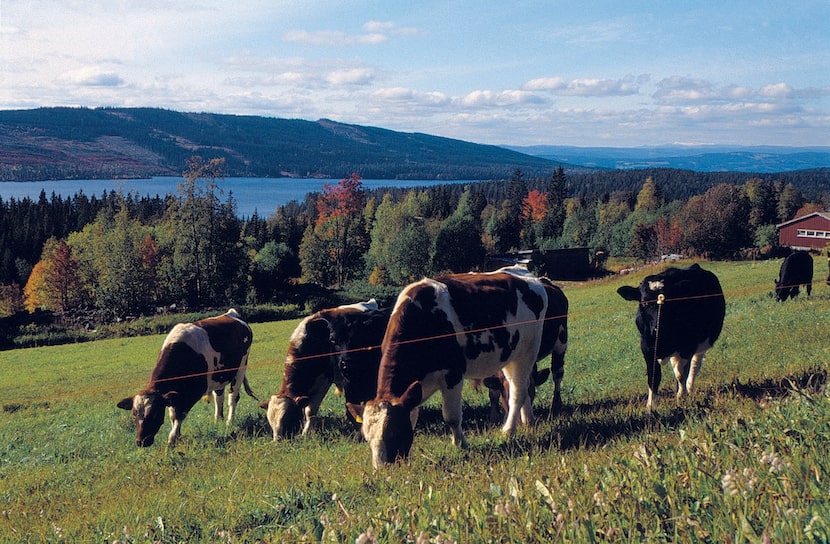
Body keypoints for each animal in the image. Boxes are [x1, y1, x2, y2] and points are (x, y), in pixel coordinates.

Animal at [116, 308, 254, 448]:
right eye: (134, 414)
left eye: (154, 414)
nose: (141, 441)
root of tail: (231, 313)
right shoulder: (173, 394)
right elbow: (172, 415)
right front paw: (178, 436)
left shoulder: (192, 393)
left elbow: (179, 415)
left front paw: (172, 439)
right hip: (218, 376)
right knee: (219, 397)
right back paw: (218, 420)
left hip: (241, 367)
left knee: (233, 398)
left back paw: (229, 422)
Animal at [258, 300, 392, 440]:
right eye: (271, 422)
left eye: (288, 418)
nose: (277, 440)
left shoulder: (324, 380)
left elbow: (310, 410)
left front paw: (306, 433)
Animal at [348, 266, 568, 470]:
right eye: (366, 437)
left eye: (393, 432)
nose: (381, 469)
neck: (425, 320)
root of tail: (522, 272)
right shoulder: (416, 386)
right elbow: (413, 413)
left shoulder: (453, 374)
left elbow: (452, 417)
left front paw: (460, 444)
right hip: (509, 356)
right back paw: (528, 420)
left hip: (528, 351)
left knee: (518, 391)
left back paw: (509, 430)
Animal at [616, 264, 728, 408]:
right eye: (645, 302)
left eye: (671, 301)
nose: (658, 328)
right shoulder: (647, 349)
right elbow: (654, 377)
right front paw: (651, 405)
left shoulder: (687, 347)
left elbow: (681, 374)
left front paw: (681, 396)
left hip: (702, 344)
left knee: (694, 365)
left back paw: (689, 388)